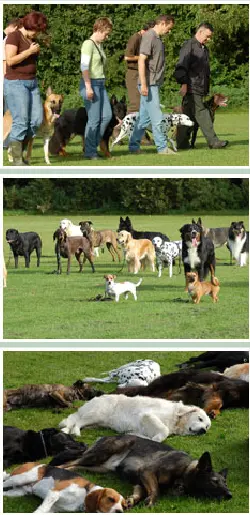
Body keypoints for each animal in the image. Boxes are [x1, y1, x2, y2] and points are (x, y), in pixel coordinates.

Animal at [54, 436, 232, 504]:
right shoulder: (147, 472)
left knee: (74, 465)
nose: (230, 495)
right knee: (67, 463)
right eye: (214, 481)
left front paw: (133, 500)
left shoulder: (140, 481)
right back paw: (55, 469)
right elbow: (156, 490)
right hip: (100, 453)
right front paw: (151, 500)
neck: (184, 471)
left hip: (99, 468)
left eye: (225, 482)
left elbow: (140, 493)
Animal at [59, 394, 211, 442]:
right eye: (200, 419)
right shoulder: (148, 414)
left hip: (96, 422)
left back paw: (66, 431)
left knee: (74, 422)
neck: (176, 418)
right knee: (77, 422)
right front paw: (157, 439)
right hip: (96, 414)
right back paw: (75, 432)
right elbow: (164, 430)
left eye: (207, 426)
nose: (203, 431)